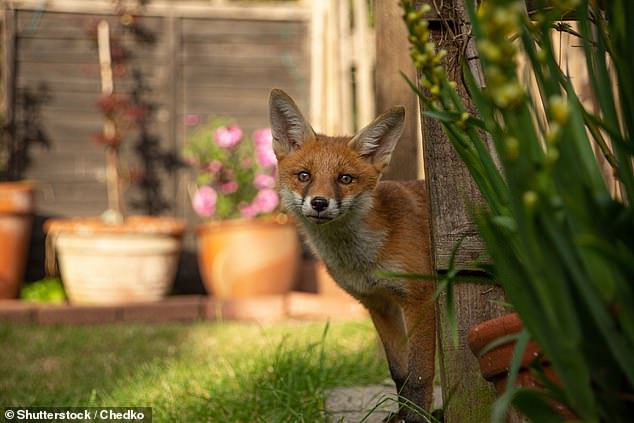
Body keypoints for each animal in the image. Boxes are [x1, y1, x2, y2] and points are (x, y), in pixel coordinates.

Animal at [266, 88, 434, 420]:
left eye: (345, 179)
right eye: (304, 176)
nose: (319, 203)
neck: (366, 259)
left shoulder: (419, 299)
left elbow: (419, 376)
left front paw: (418, 418)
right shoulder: (380, 304)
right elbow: (399, 373)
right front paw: (401, 416)